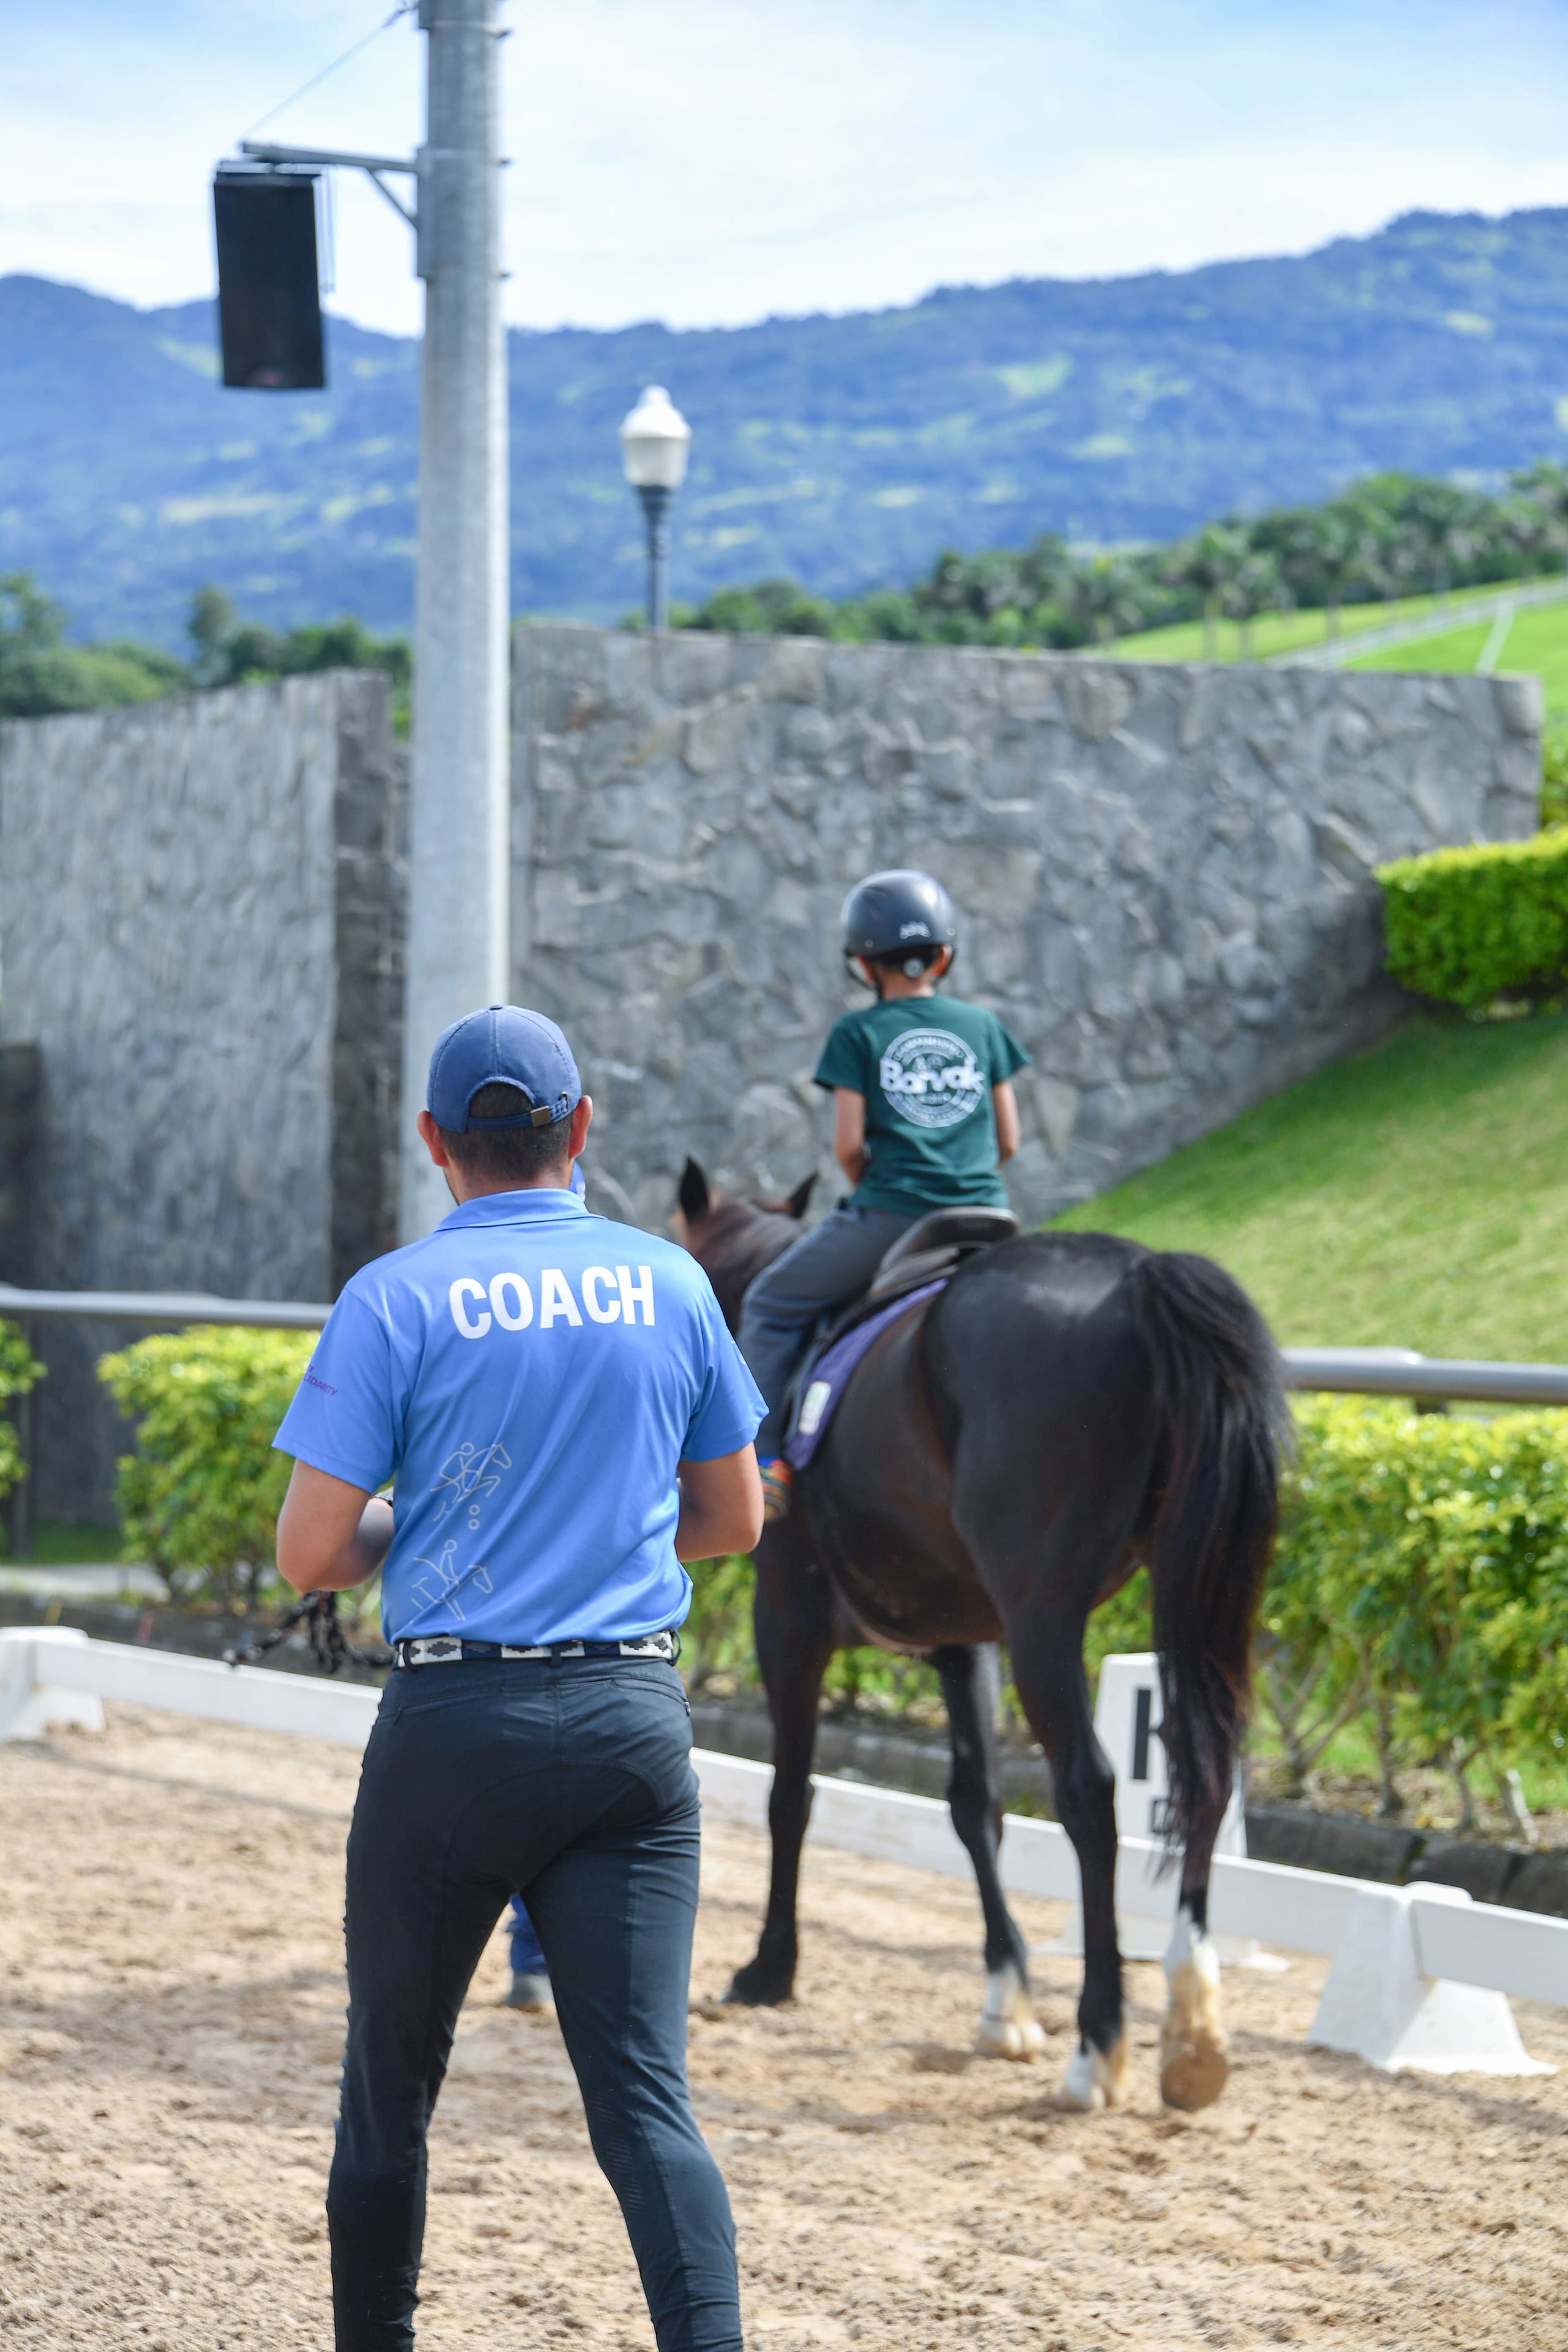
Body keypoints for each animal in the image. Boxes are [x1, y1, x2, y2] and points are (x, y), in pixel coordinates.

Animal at [676, 1159, 1287, 2112]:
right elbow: (976, 1805)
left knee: (1090, 1793)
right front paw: (1007, 1999)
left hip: (1044, 1617)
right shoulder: (967, 1643)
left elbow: (790, 1796)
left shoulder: (787, 1620)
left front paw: (770, 1969)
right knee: (1205, 1771)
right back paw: (1191, 2025)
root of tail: (1140, 1278)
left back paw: (1100, 2042)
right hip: (1185, 1592)